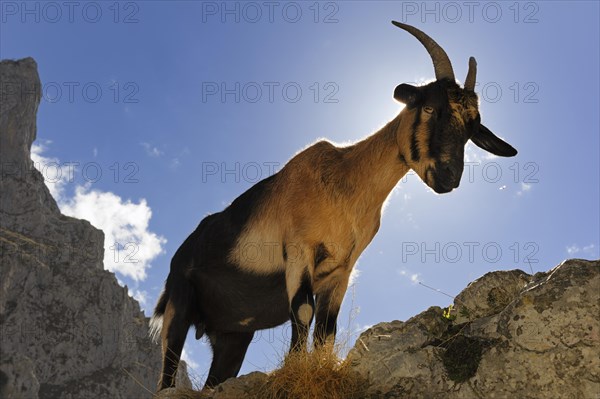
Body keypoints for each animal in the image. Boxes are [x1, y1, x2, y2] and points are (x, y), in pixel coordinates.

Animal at [149, 21, 516, 390]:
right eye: (428, 108)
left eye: (471, 128)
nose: (448, 176)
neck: (343, 186)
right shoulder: (300, 251)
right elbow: (304, 312)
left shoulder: (342, 270)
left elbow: (327, 330)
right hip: (179, 303)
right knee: (167, 370)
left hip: (232, 335)